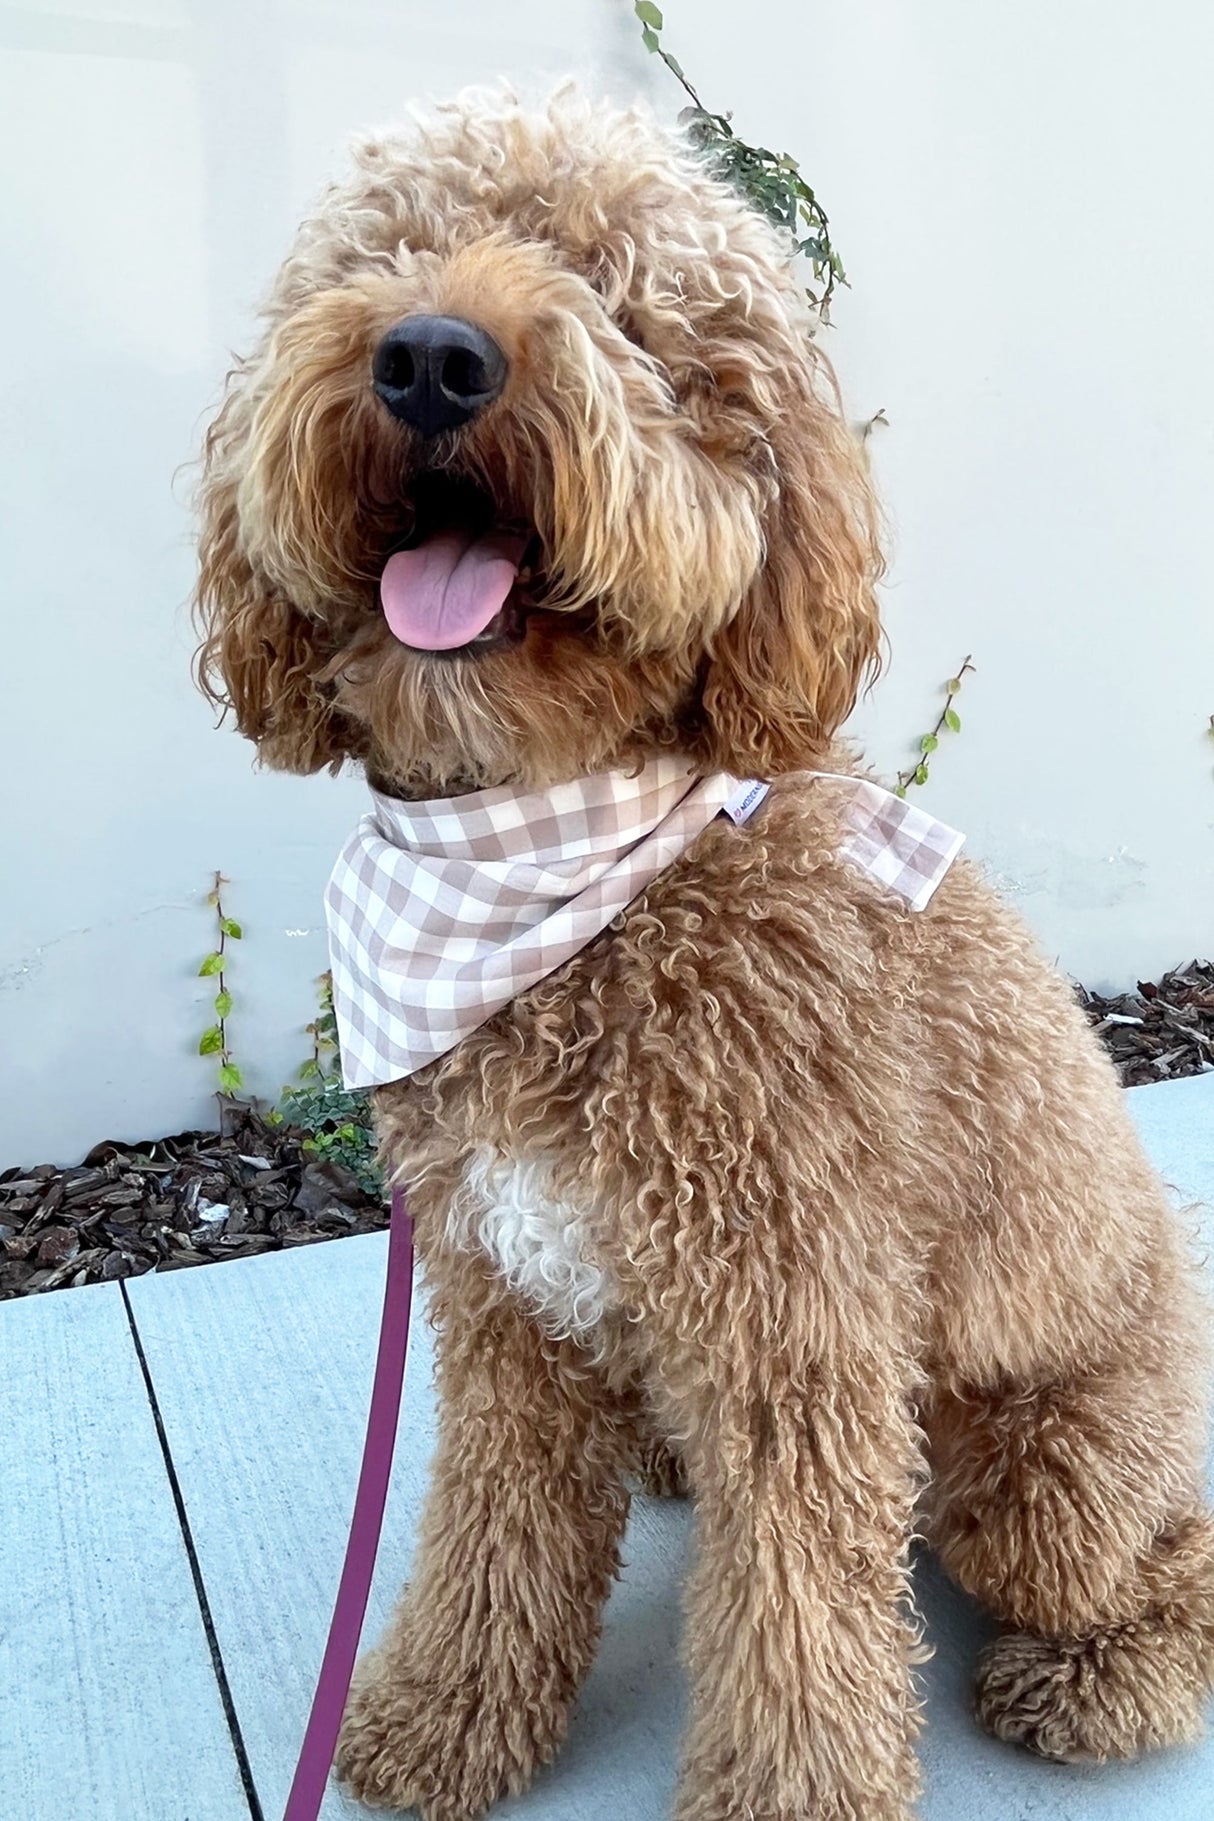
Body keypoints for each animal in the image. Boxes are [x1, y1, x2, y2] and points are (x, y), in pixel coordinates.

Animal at [194, 88, 1208, 1821]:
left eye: (621, 300)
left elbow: (796, 1624)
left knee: (1163, 1555)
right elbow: (493, 1531)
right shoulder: (502, 1305)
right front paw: (442, 1715)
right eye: (383, 254)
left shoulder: (792, 1333)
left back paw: (1100, 1678)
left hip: (1043, 1478)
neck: (561, 868)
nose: (430, 357)